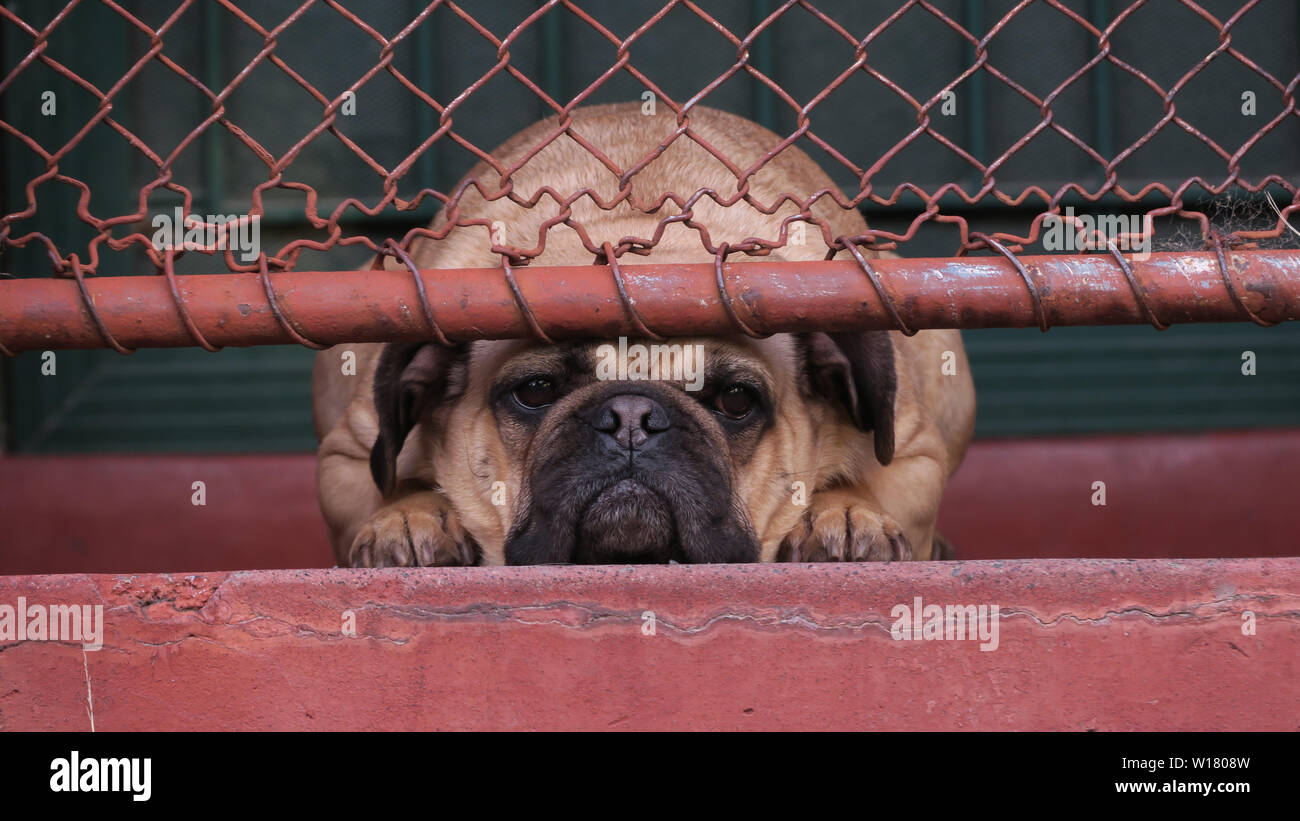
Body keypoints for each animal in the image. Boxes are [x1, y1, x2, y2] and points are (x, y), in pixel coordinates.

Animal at [312, 101, 977, 563]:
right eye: (535, 393)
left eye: (736, 401)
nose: (631, 416)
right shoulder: (347, 457)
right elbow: (388, 484)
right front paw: (412, 516)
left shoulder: (913, 451)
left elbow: (871, 482)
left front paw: (843, 513)